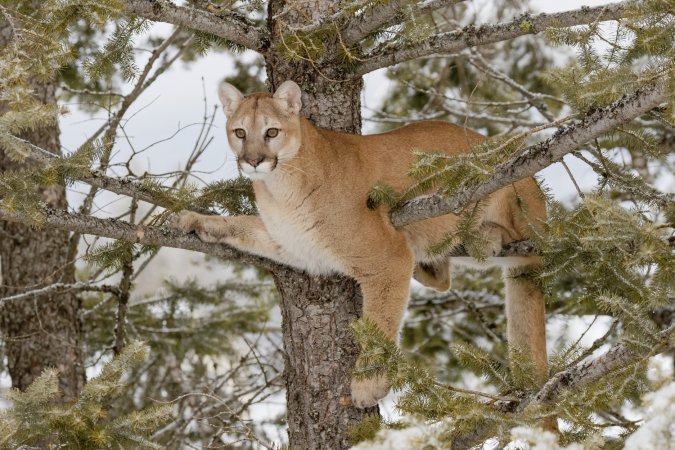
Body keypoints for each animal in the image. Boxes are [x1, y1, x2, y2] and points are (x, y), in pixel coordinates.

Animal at [174, 81, 548, 408]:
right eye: (240, 132)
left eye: (271, 132)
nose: (253, 160)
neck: (279, 188)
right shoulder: (296, 244)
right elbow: (243, 225)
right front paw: (198, 221)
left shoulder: (387, 258)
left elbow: (379, 324)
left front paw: (368, 383)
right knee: (444, 280)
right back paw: (430, 264)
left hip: (505, 190)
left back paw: (485, 236)